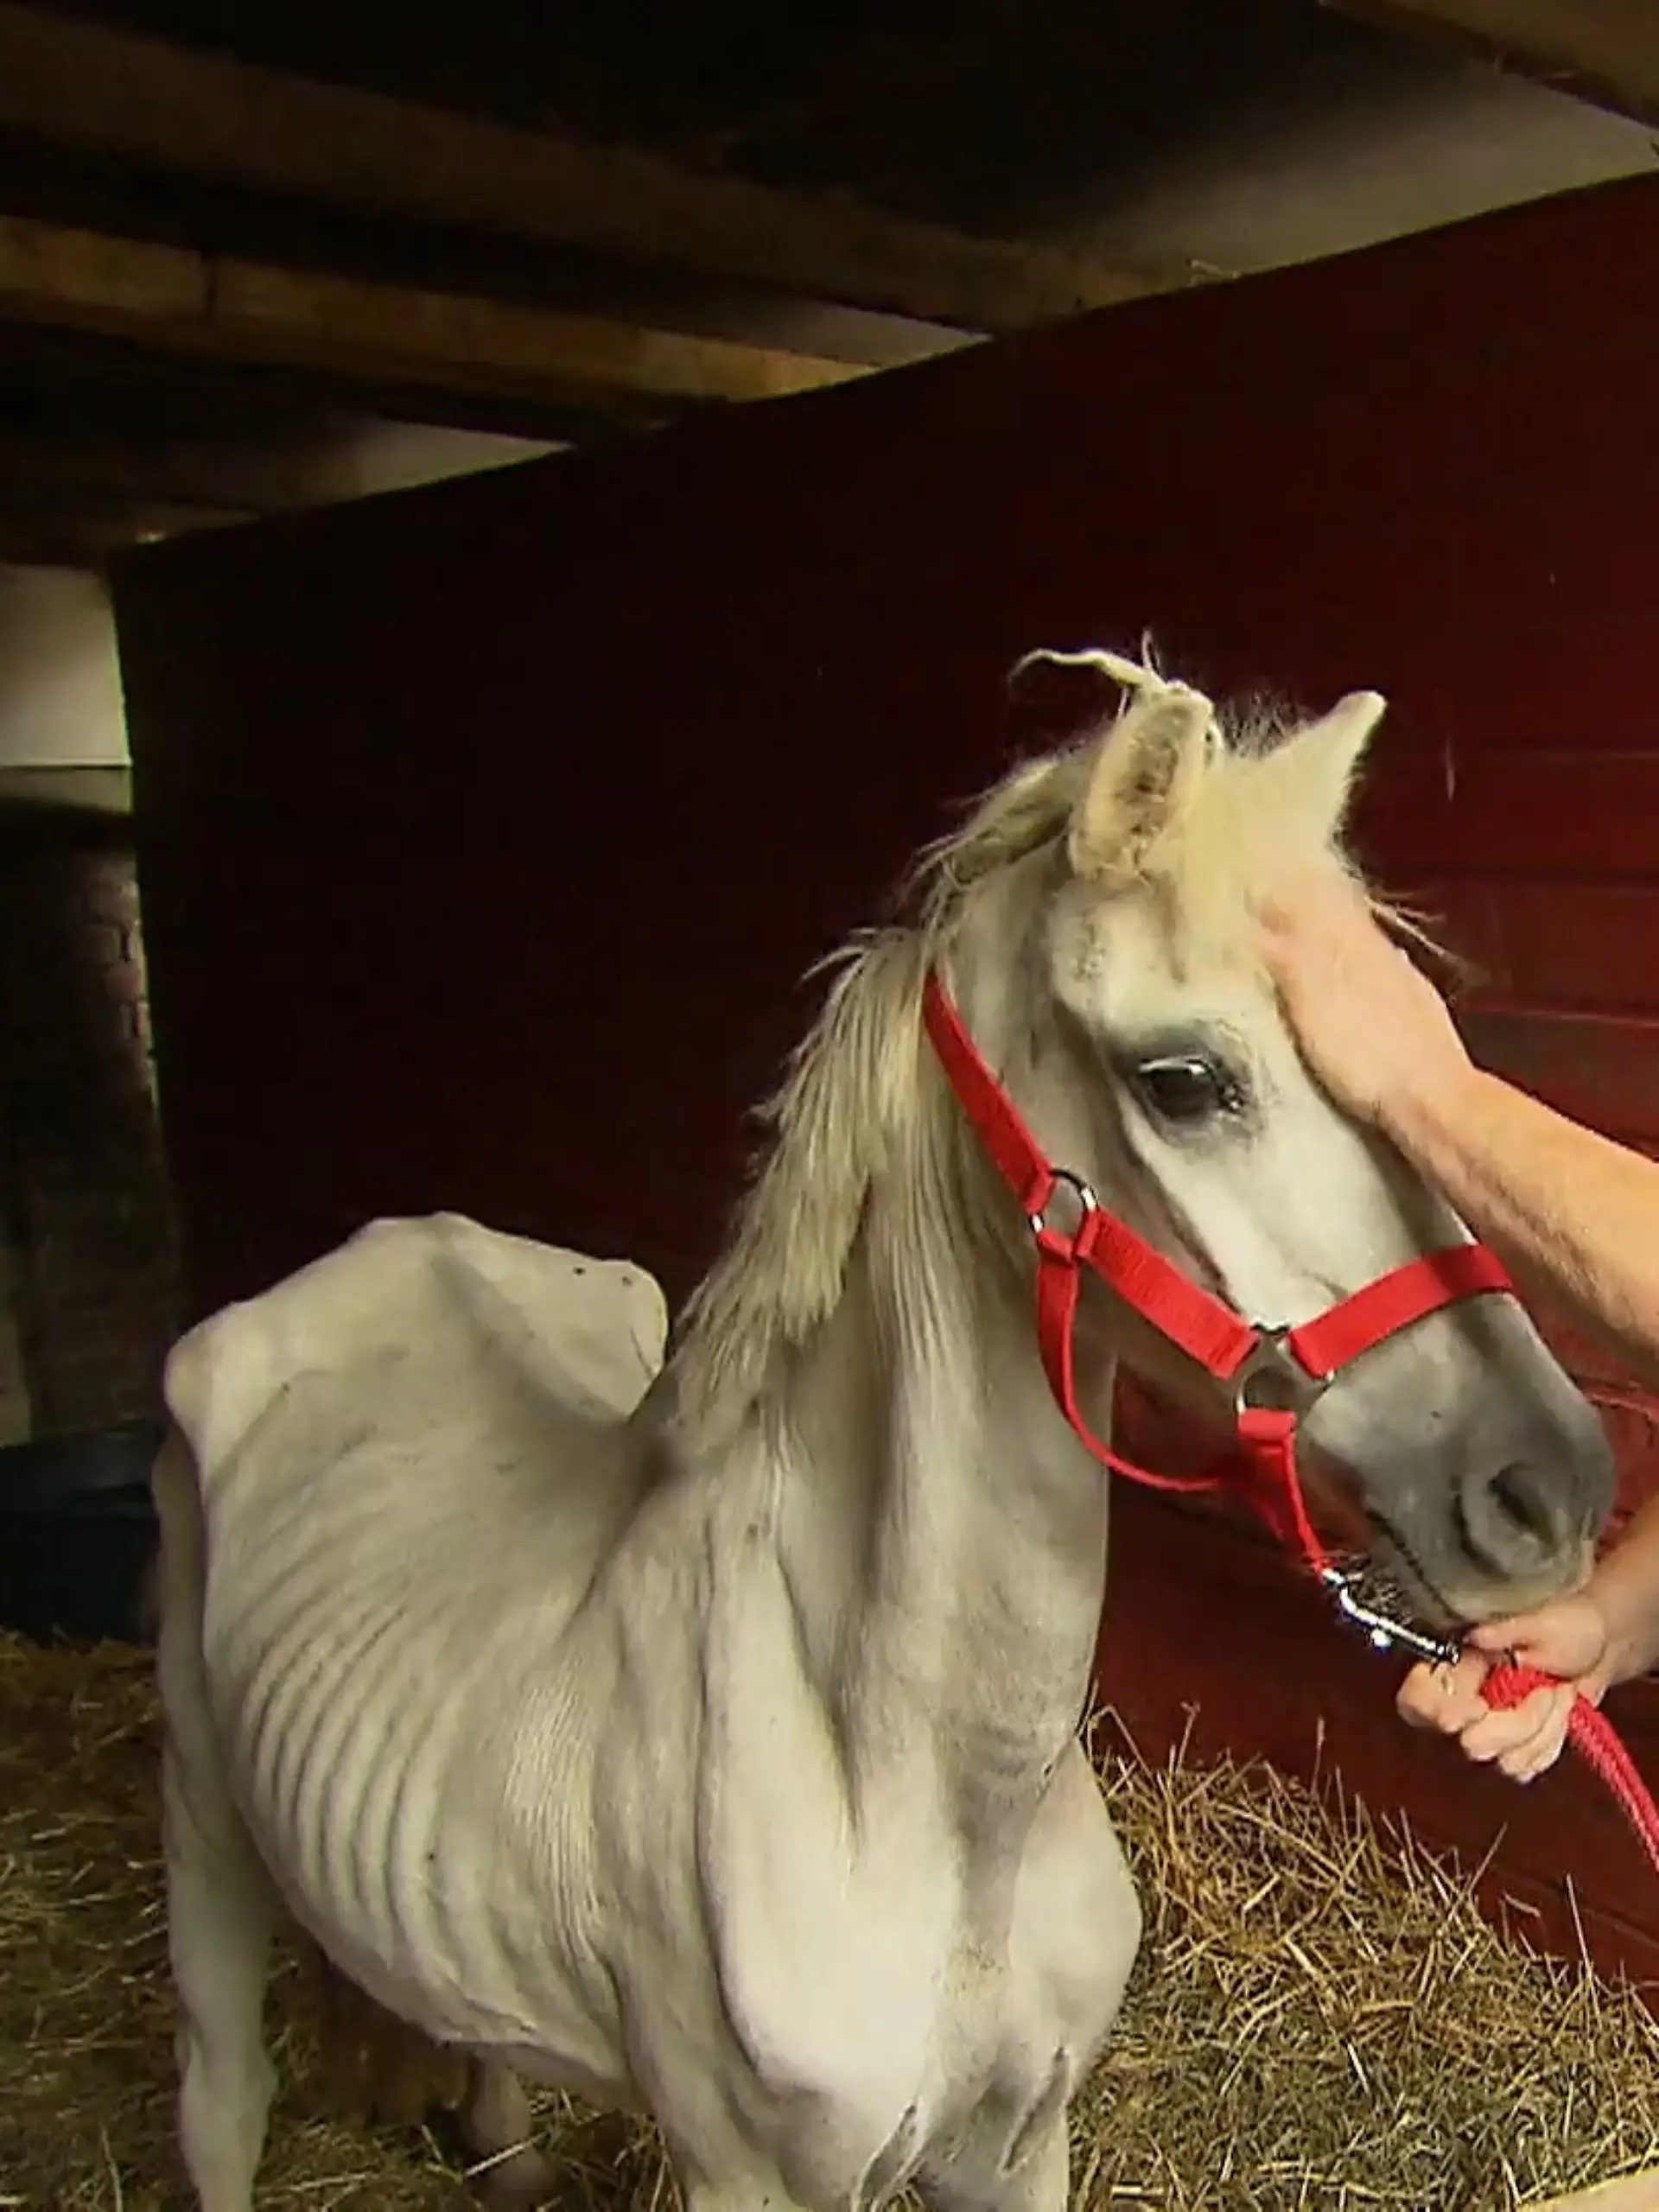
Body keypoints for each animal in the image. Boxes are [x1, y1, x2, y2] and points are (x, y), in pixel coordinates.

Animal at [151, 650, 1616, 2212]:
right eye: (1180, 1081)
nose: (1551, 1487)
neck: (912, 1795)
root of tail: (361, 1256)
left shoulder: (1018, 2145)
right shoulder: (749, 2175)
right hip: (205, 1819)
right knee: (222, 2093)